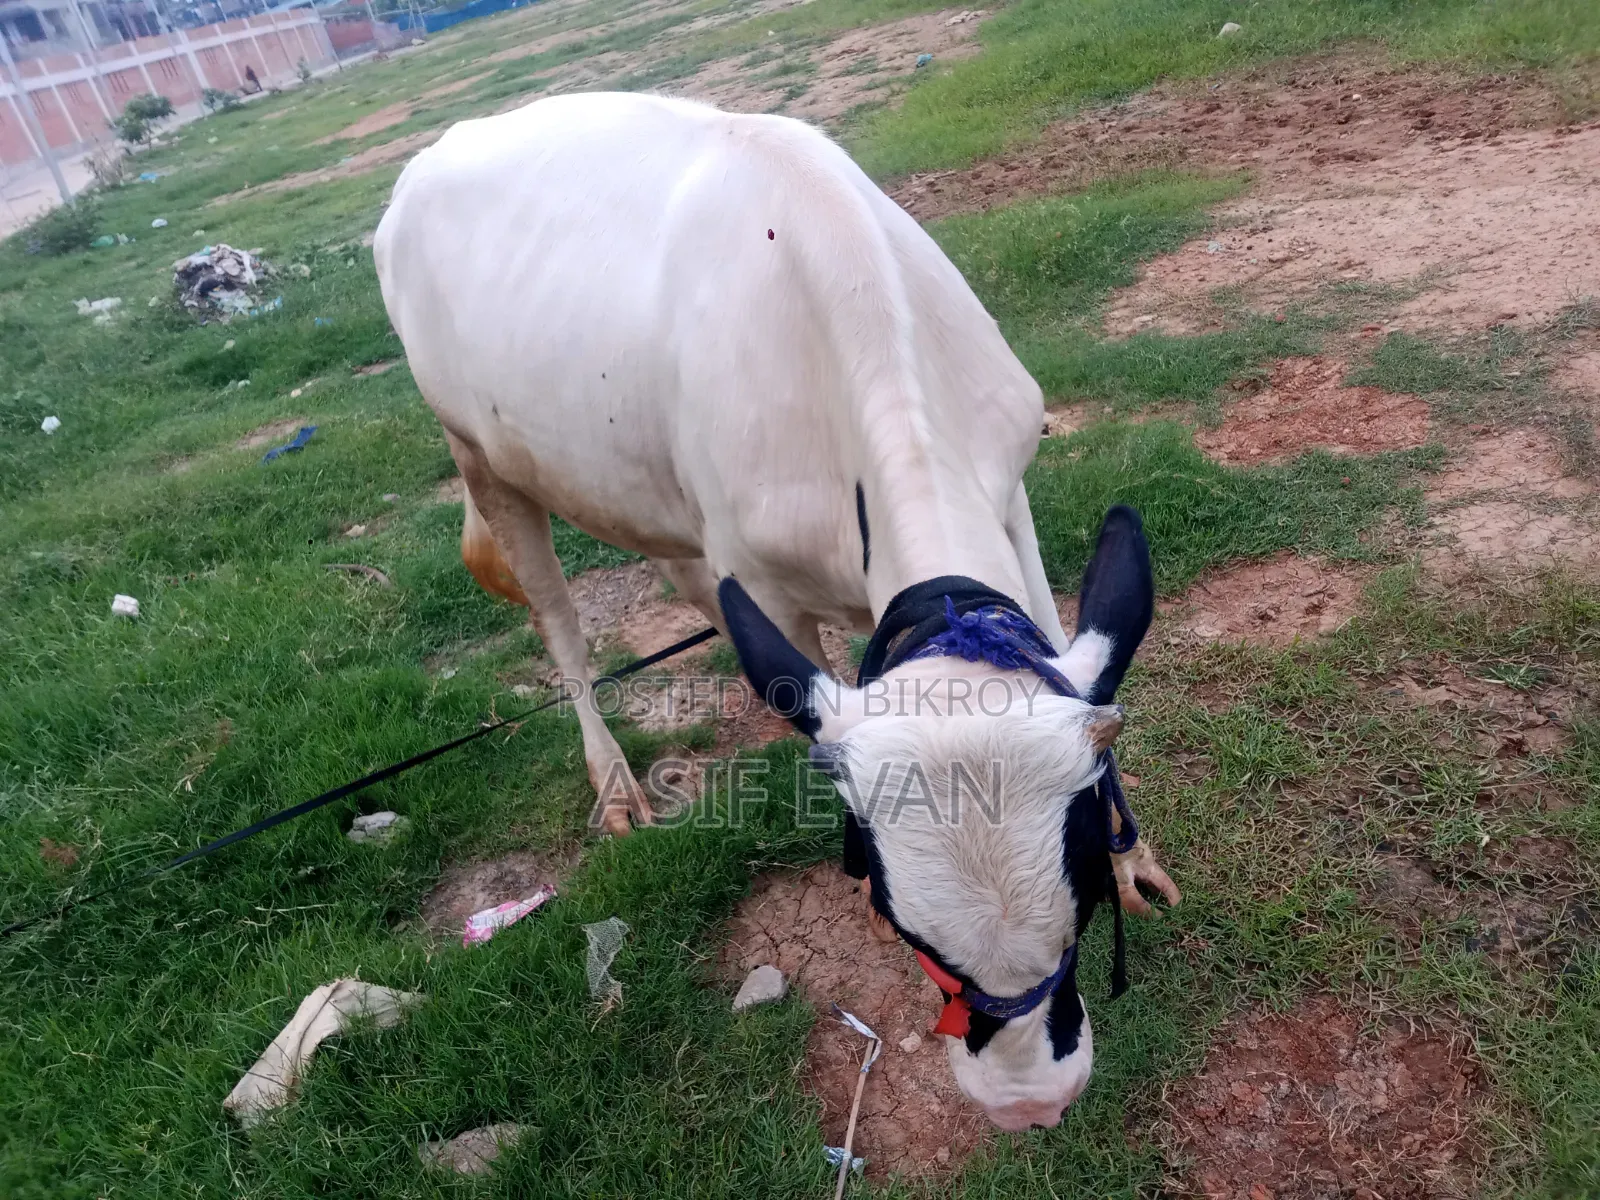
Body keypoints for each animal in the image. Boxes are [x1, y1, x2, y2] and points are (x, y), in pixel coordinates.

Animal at [374, 91, 1179, 1130]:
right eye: (905, 927)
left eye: (1082, 904)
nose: (1030, 1104)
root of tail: (434, 153)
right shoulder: (765, 580)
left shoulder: (1008, 487)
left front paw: (1134, 852)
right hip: (481, 457)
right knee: (561, 627)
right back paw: (614, 782)